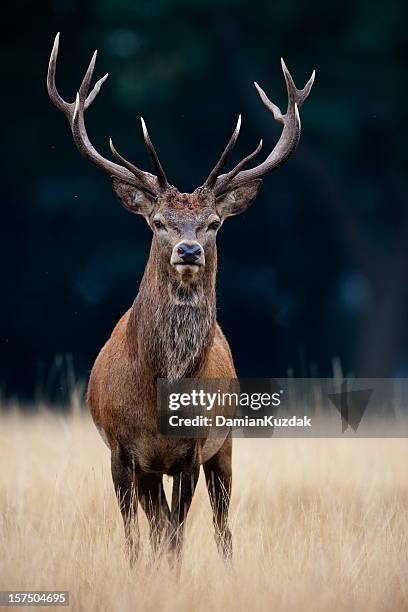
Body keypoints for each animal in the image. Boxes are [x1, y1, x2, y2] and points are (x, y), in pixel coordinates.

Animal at [47, 32, 316, 560]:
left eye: (213, 223)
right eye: (157, 222)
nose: (188, 249)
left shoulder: (193, 450)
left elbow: (176, 536)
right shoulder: (121, 450)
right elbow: (137, 537)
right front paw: (138, 570)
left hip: (226, 444)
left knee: (221, 525)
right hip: (154, 469)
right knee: (156, 524)